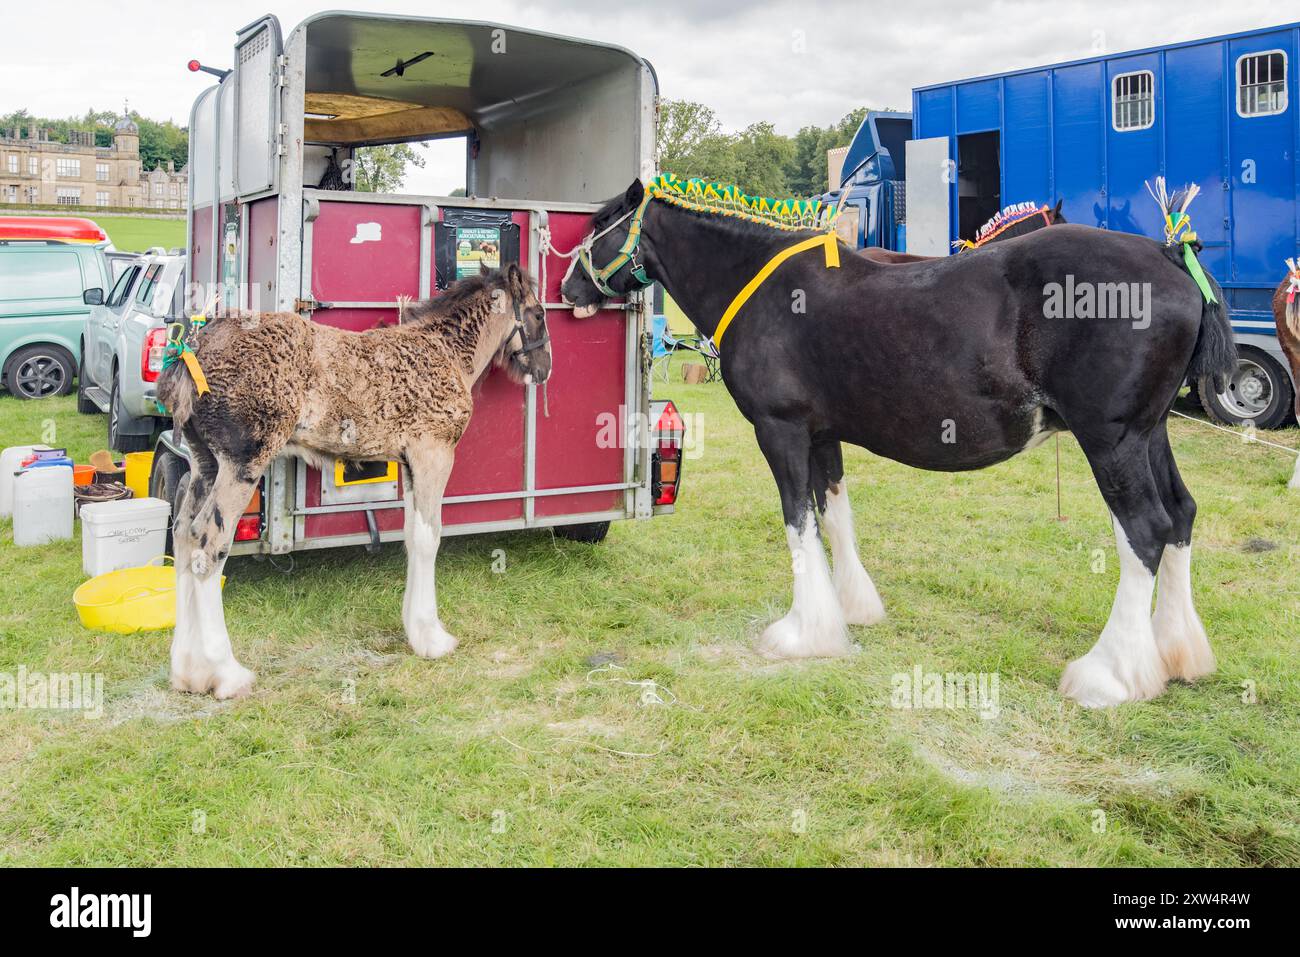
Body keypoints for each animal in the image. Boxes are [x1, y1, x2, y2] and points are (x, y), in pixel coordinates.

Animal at [564, 179, 1232, 707]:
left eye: (598, 228)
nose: (569, 287)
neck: (763, 287)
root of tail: (1170, 258)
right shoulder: (823, 435)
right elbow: (834, 515)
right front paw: (849, 610)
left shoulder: (780, 430)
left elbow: (798, 522)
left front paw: (804, 632)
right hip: (1150, 434)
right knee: (1180, 516)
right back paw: (1176, 653)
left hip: (1111, 439)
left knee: (1144, 528)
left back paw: (1110, 674)